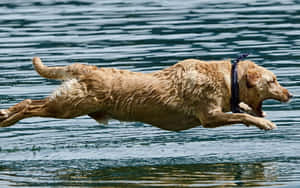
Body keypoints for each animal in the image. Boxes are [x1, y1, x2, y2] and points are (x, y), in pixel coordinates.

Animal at [0, 57, 292, 131]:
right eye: (274, 80)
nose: (290, 95)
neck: (226, 79)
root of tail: (84, 68)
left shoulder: (221, 110)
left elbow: (241, 110)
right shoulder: (209, 117)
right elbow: (242, 116)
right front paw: (264, 122)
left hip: (66, 104)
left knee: (33, 102)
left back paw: (5, 114)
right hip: (68, 107)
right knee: (29, 104)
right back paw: (7, 117)